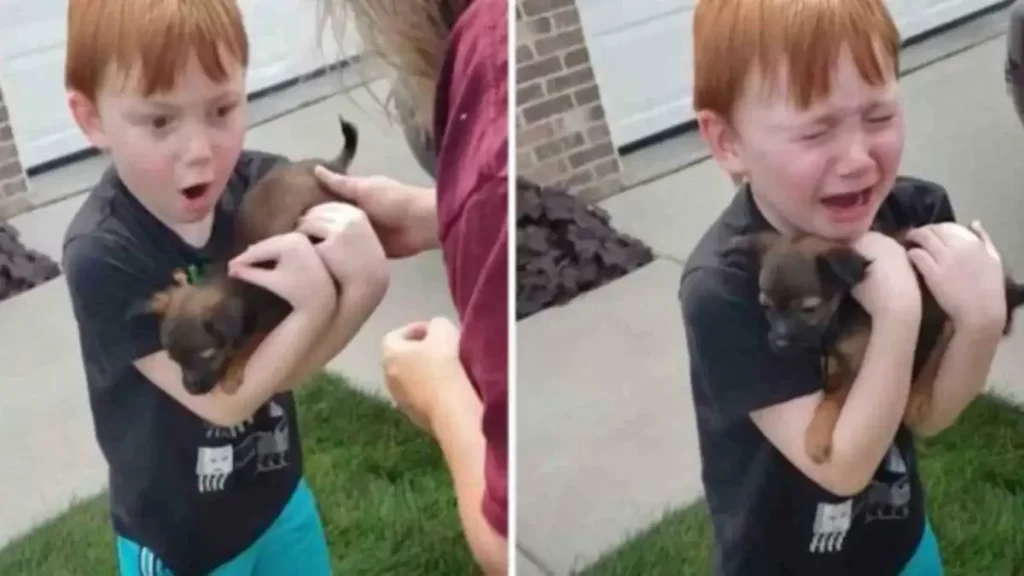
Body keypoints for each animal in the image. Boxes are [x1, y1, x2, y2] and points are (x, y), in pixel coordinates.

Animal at [140, 116, 356, 393]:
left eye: (207, 355)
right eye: (173, 359)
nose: (190, 390)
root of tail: (331, 164)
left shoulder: (275, 314)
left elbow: (251, 343)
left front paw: (233, 373)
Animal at [724, 226, 1024, 463]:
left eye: (808, 309)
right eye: (766, 307)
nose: (777, 343)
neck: (842, 311)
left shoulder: (859, 362)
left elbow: (833, 399)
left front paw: (817, 437)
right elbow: (832, 371)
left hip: (948, 313)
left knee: (939, 347)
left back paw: (918, 396)